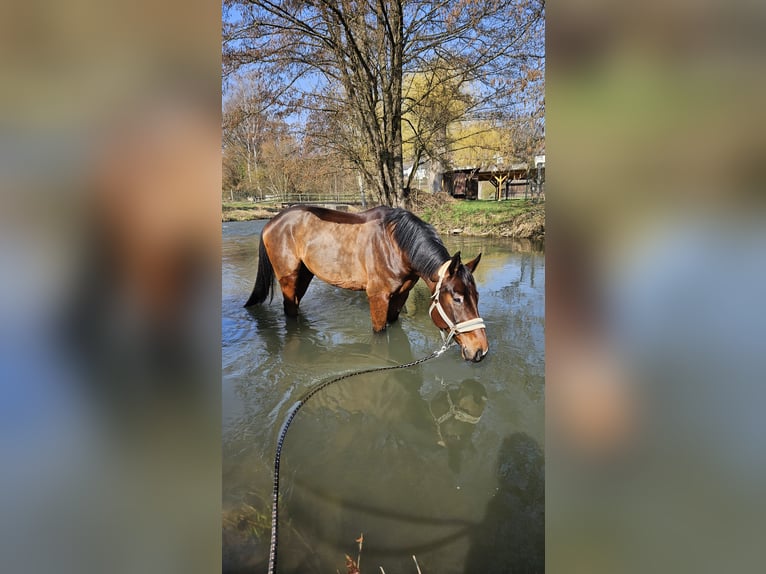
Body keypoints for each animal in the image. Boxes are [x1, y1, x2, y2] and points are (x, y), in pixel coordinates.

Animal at [244, 205, 488, 362]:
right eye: (456, 298)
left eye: (477, 297)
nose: (480, 350)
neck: (395, 245)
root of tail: (272, 222)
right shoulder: (378, 297)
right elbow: (380, 336)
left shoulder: (400, 296)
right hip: (289, 279)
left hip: (304, 276)